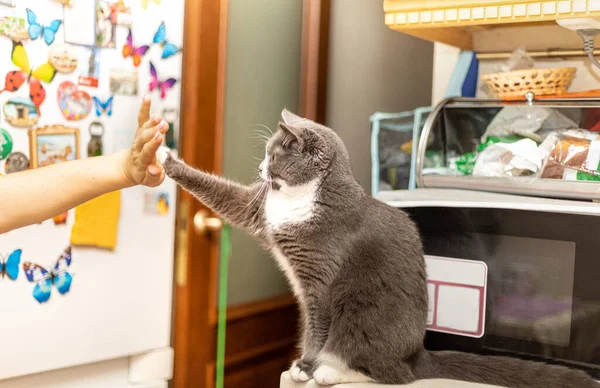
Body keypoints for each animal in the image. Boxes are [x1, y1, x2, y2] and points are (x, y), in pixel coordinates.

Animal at [157, 110, 596, 388]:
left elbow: (316, 328)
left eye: (274, 155)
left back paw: (330, 372)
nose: (262, 169)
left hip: (360, 313)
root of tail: (418, 353)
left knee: (391, 375)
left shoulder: (321, 283)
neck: (299, 198)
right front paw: (166, 157)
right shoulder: (259, 208)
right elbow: (222, 194)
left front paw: (304, 366)